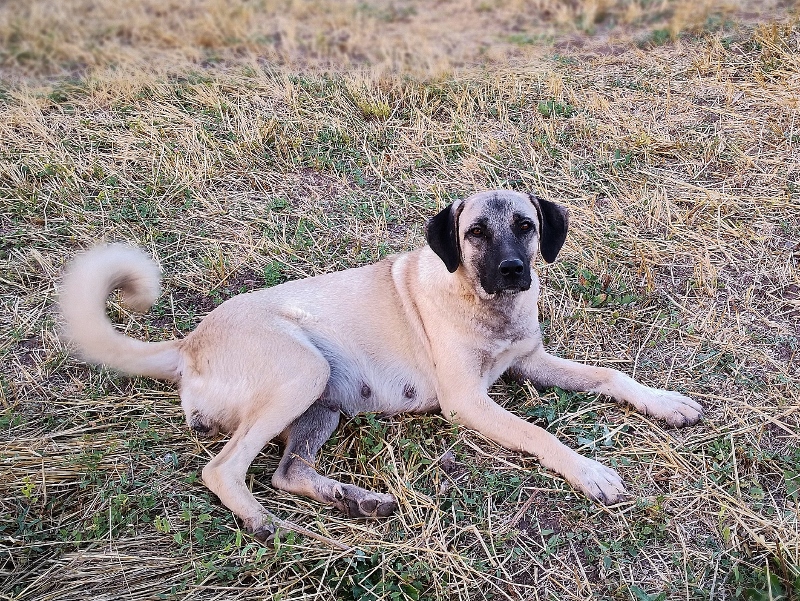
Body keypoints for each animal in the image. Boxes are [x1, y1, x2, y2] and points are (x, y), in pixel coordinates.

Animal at [59, 189, 704, 540]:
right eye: (475, 232)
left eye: (526, 226)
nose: (514, 271)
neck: (484, 304)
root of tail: (189, 343)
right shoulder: (468, 401)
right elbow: (538, 434)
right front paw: (588, 471)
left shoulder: (531, 361)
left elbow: (610, 375)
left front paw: (664, 402)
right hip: (301, 373)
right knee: (223, 470)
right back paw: (270, 526)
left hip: (320, 405)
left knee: (286, 471)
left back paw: (354, 499)